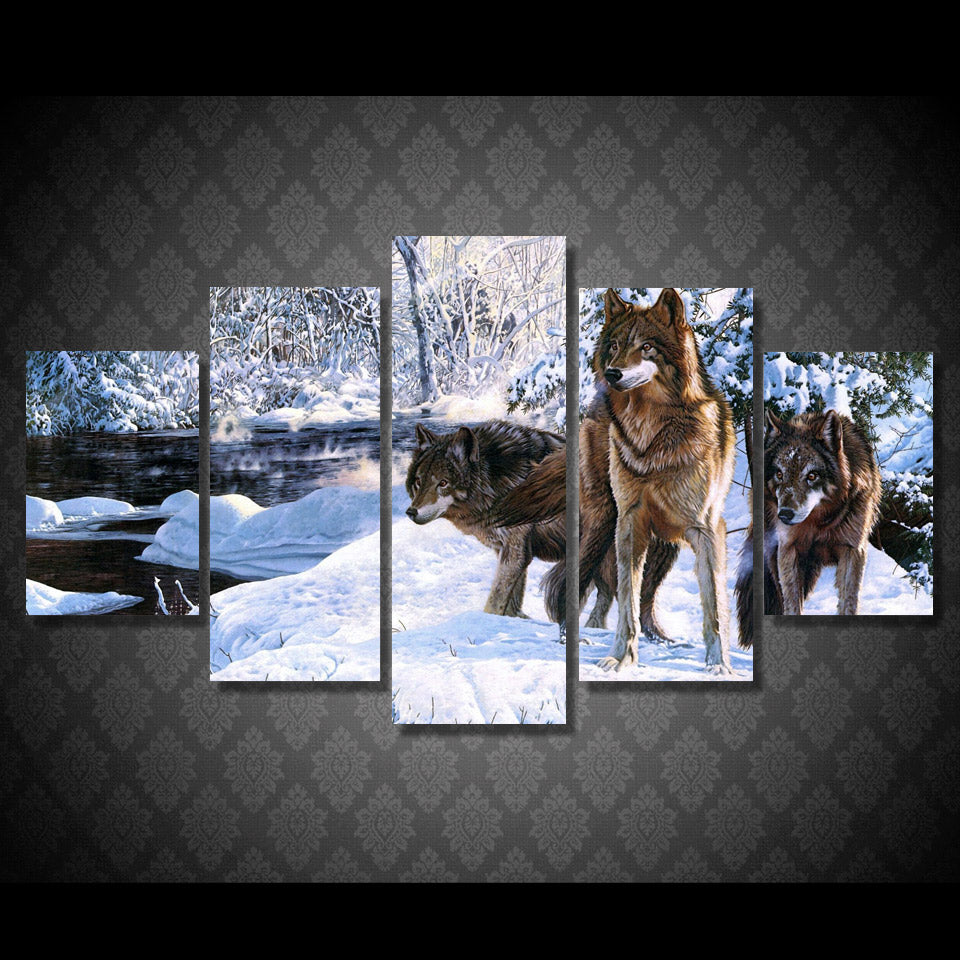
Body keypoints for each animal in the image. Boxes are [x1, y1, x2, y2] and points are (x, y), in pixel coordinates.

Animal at [405, 419, 615, 622]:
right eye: (418, 482)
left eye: (443, 483)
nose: (411, 511)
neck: (495, 480)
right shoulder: (507, 550)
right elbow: (511, 603)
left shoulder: (515, 551)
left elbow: (495, 601)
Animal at [496, 288, 735, 673]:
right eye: (615, 346)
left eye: (647, 347)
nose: (612, 373)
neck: (653, 437)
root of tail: (593, 410)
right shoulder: (629, 523)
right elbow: (626, 601)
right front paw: (621, 658)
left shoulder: (706, 528)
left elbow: (712, 604)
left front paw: (718, 664)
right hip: (603, 524)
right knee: (569, 582)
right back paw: (572, 640)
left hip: (664, 547)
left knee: (647, 598)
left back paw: (662, 640)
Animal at [735, 408, 881, 633]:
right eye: (779, 474)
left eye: (812, 476)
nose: (784, 514)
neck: (820, 523)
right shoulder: (788, 550)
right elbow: (792, 605)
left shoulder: (853, 550)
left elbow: (848, 602)